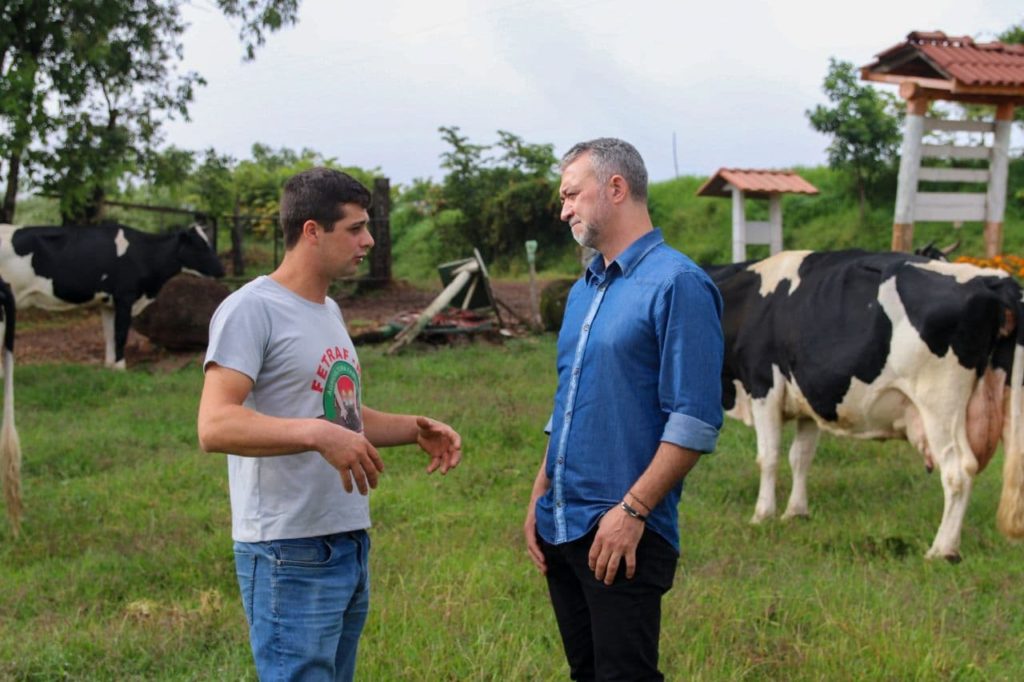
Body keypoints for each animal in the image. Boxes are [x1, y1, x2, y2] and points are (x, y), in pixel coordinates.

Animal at [0, 222, 224, 368]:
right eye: (200, 246)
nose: (221, 270)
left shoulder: (107, 302)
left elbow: (109, 333)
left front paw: (109, 366)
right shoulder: (125, 296)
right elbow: (121, 333)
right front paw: (120, 366)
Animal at [708, 249, 1024, 557]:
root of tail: (994, 280)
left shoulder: (764, 385)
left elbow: (769, 456)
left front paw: (762, 515)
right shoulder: (809, 399)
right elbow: (800, 456)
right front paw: (796, 513)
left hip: (940, 403)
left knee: (958, 470)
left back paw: (942, 549)